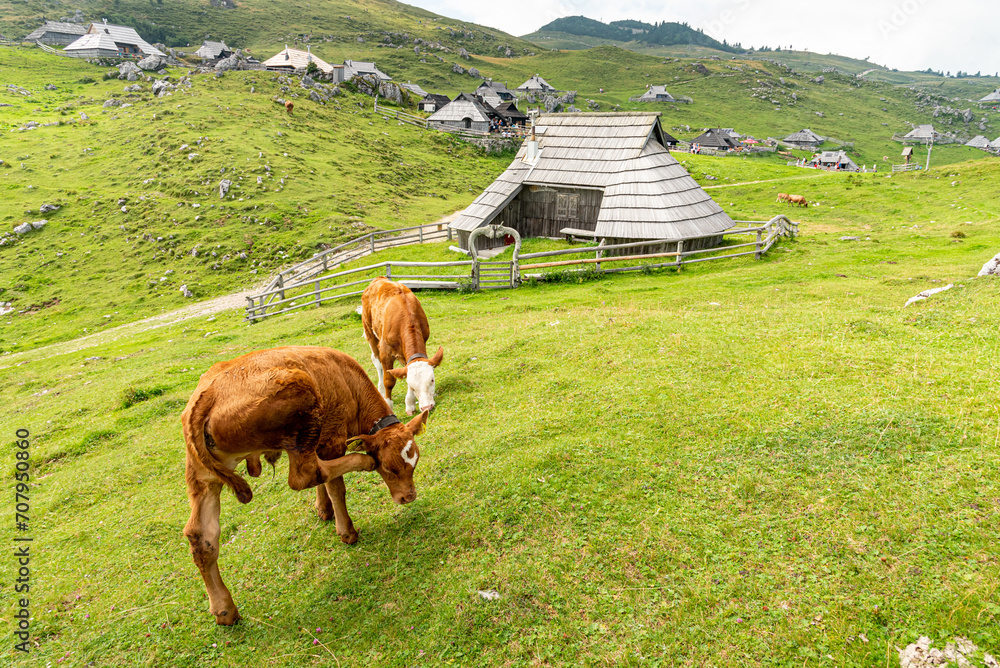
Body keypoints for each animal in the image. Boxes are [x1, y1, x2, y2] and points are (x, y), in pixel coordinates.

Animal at [181, 346, 429, 625]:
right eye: (388, 467)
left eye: (414, 463)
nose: (408, 496)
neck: (347, 380)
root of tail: (210, 391)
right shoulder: (332, 440)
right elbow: (335, 487)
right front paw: (345, 530)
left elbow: (325, 486)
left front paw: (323, 508)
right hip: (302, 412)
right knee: (306, 475)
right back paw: (362, 461)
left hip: (204, 478)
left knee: (202, 536)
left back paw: (224, 609)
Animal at [361, 277, 444, 415]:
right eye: (414, 387)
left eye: (432, 380)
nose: (427, 407)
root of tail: (378, 278)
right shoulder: (385, 352)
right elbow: (389, 380)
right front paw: (388, 404)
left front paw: (410, 404)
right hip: (369, 332)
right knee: (377, 362)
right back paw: (380, 390)